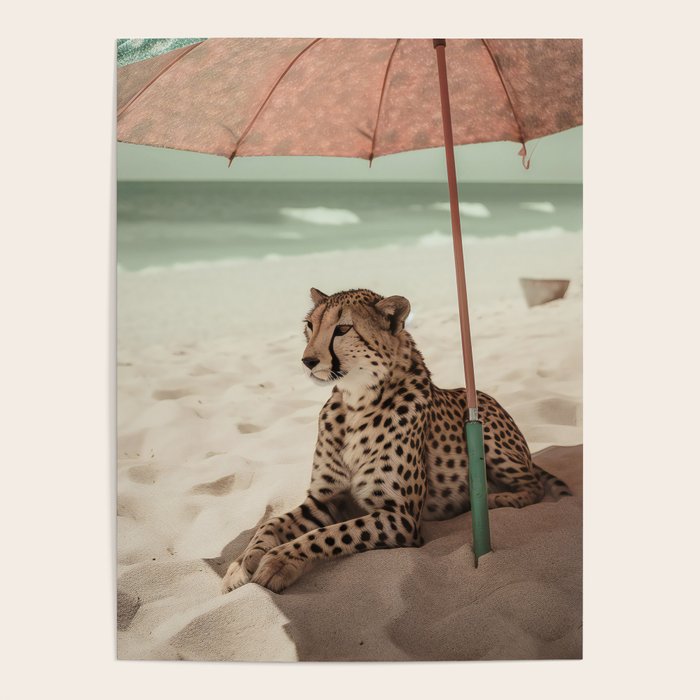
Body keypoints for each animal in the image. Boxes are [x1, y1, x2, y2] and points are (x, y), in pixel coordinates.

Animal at [222, 287, 571, 593]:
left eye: (342, 328)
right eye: (310, 325)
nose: (307, 361)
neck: (356, 403)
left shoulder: (399, 517)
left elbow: (328, 534)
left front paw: (279, 561)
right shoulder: (322, 501)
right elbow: (270, 525)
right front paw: (240, 564)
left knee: (534, 485)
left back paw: (498, 498)